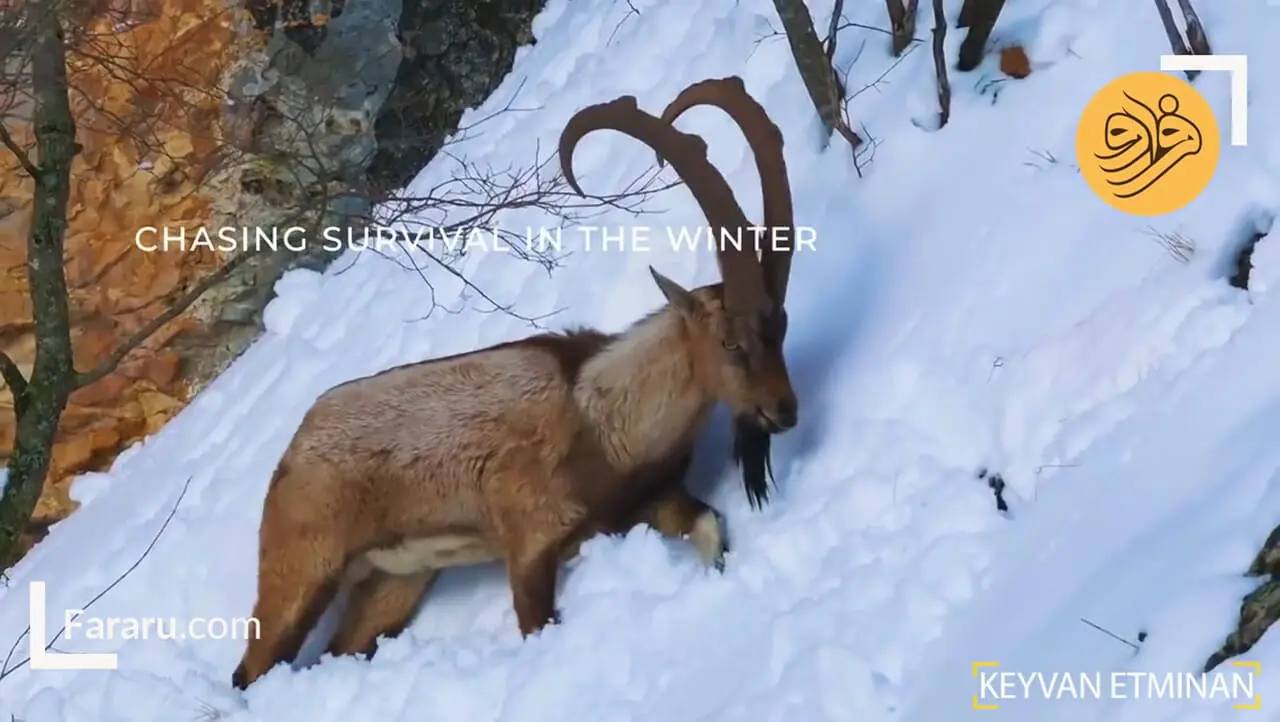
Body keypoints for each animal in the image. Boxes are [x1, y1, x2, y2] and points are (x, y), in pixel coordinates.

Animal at [225, 76, 793, 691]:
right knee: (250, 670)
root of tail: (291, 454)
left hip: (394, 582)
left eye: (780, 326)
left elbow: (709, 527)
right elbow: (535, 621)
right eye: (730, 342)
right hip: (300, 575)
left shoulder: (645, 503)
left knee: (343, 646)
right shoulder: (529, 547)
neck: (601, 416)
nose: (784, 410)